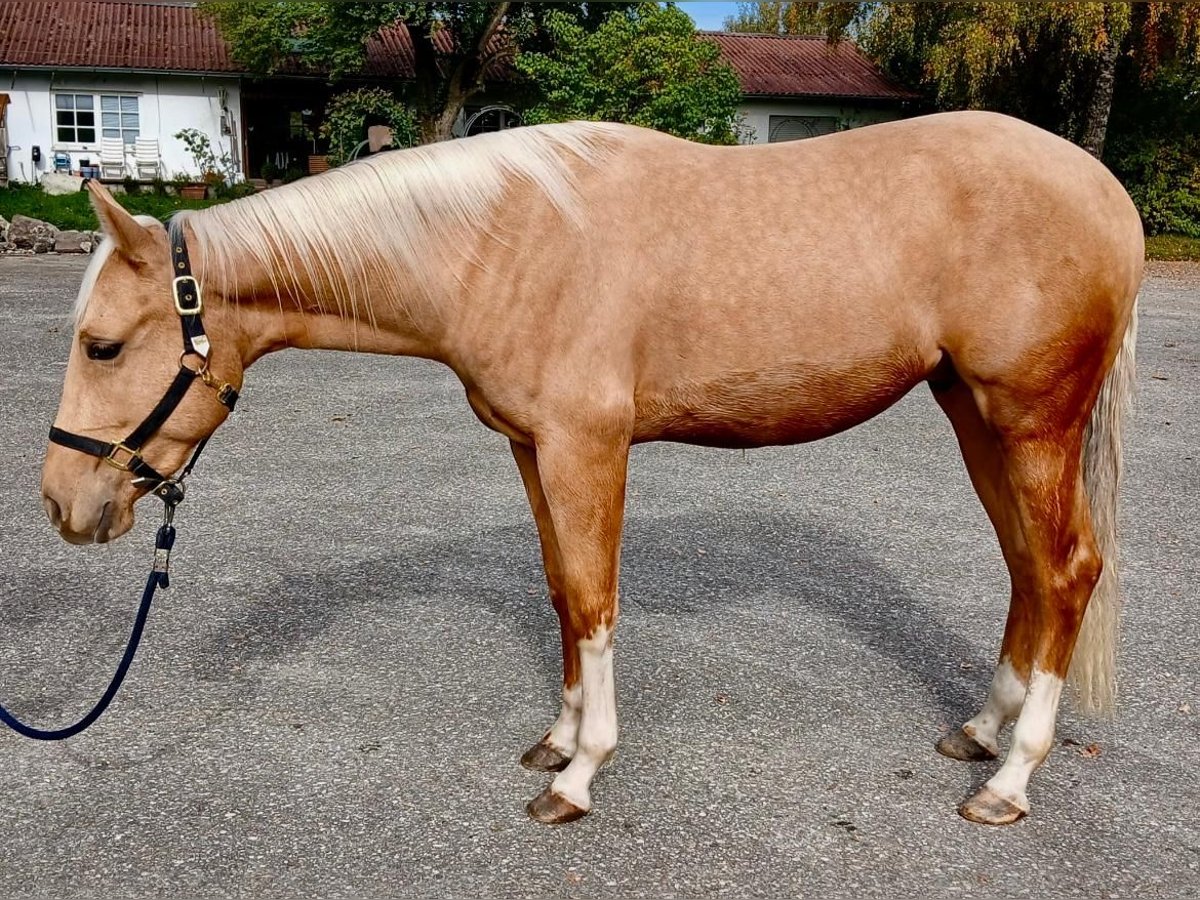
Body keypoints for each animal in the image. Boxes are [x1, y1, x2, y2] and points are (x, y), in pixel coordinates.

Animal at [41, 111, 1142, 827]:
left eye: (102, 346)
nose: (62, 505)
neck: (501, 243)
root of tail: (1107, 194)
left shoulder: (587, 448)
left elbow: (596, 597)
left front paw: (578, 777)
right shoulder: (533, 448)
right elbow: (561, 592)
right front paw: (559, 739)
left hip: (1030, 422)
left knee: (1067, 571)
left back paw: (1008, 782)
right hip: (976, 415)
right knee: (1025, 568)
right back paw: (982, 731)